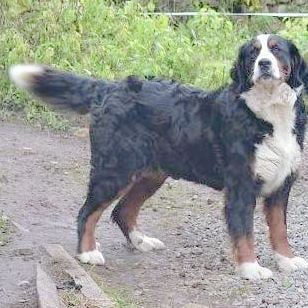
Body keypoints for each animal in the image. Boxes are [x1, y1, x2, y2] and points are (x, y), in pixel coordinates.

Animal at [9, 33, 308, 280]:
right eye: (253, 54)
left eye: (276, 50)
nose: (264, 64)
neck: (269, 113)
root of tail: (111, 88)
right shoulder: (241, 185)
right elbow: (244, 231)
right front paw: (250, 268)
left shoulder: (281, 185)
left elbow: (280, 228)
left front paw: (288, 260)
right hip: (114, 170)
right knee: (87, 212)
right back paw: (88, 253)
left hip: (150, 175)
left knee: (122, 210)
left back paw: (141, 241)